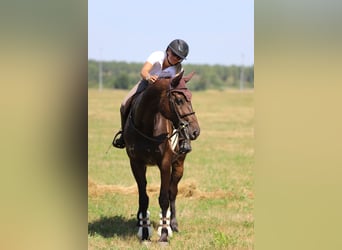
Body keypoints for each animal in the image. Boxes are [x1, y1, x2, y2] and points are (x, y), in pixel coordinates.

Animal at [121, 71, 199, 242]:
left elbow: (164, 198)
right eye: (179, 100)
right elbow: (143, 197)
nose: (196, 131)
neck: (146, 125)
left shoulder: (165, 164)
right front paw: (144, 232)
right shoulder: (136, 163)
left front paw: (163, 235)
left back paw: (173, 225)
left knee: (172, 192)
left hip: (178, 166)